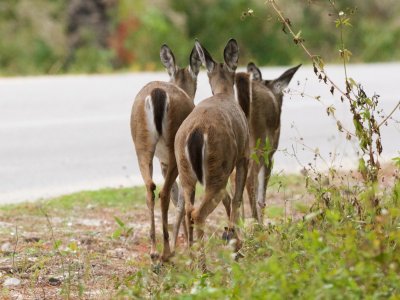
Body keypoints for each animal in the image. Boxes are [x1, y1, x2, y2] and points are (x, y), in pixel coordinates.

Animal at [130, 45, 202, 262]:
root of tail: (158, 94)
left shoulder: (162, 161)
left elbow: (177, 197)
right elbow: (182, 199)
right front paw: (189, 246)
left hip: (142, 144)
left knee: (151, 188)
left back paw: (154, 250)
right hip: (174, 148)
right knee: (164, 193)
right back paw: (165, 252)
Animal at [174, 38, 248, 270]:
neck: (224, 93)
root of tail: (196, 131)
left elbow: (229, 198)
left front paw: (233, 239)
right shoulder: (244, 154)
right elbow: (237, 197)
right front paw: (234, 240)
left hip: (187, 170)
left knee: (187, 210)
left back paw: (192, 260)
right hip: (218, 164)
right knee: (198, 213)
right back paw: (203, 268)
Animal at [236, 62, 302, 221]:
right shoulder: (270, 154)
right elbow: (262, 192)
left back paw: (237, 223)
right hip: (257, 144)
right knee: (249, 180)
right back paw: (256, 222)